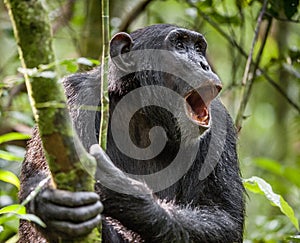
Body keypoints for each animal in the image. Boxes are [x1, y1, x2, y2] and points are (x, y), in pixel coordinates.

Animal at [17, 25, 245, 243]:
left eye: (198, 48)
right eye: (179, 45)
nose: (203, 64)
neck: (145, 115)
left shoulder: (220, 123)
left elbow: (224, 217)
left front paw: (124, 190)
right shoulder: (72, 95)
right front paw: (46, 203)